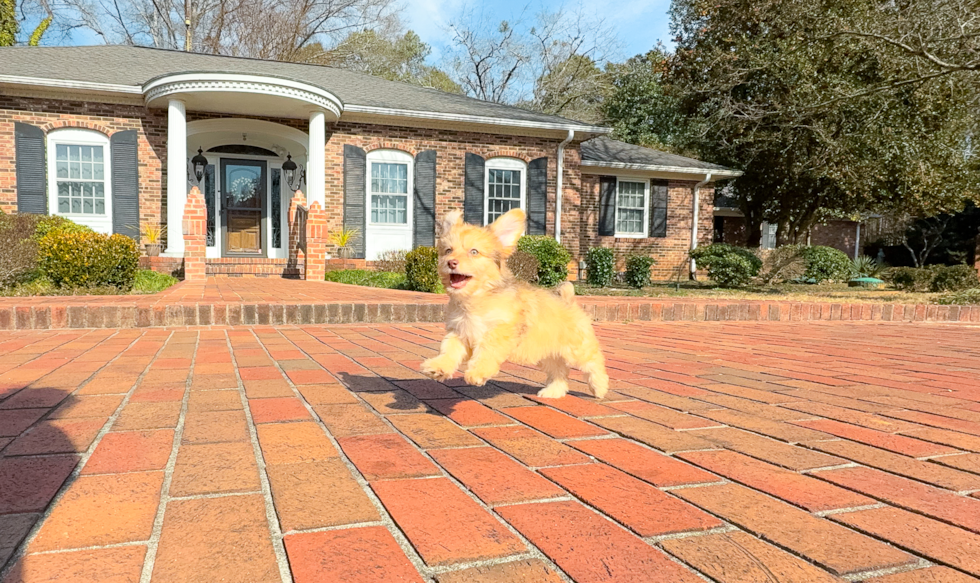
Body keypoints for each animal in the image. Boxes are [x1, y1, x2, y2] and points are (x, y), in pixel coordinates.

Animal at [420, 209, 604, 402]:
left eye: (474, 251)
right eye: (448, 250)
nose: (451, 262)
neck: (477, 298)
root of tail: (568, 300)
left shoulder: (501, 330)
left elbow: (487, 350)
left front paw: (478, 372)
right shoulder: (460, 332)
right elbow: (449, 350)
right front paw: (438, 366)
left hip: (577, 349)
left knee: (594, 362)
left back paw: (599, 387)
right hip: (548, 353)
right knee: (559, 371)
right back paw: (553, 391)